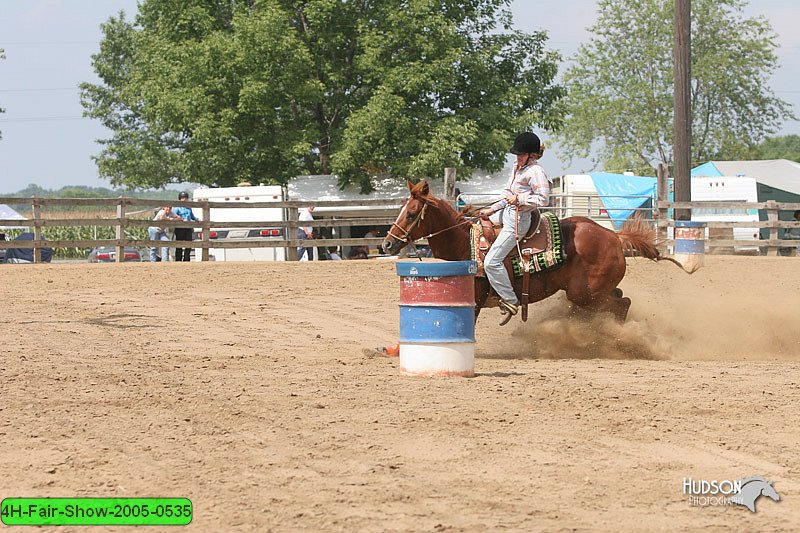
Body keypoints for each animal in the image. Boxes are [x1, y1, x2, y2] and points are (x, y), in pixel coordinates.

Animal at [382, 179, 688, 322]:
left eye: (411, 214)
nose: (386, 243)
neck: (463, 243)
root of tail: (613, 236)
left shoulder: (475, 299)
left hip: (585, 294)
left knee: (622, 303)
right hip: (591, 292)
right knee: (620, 298)